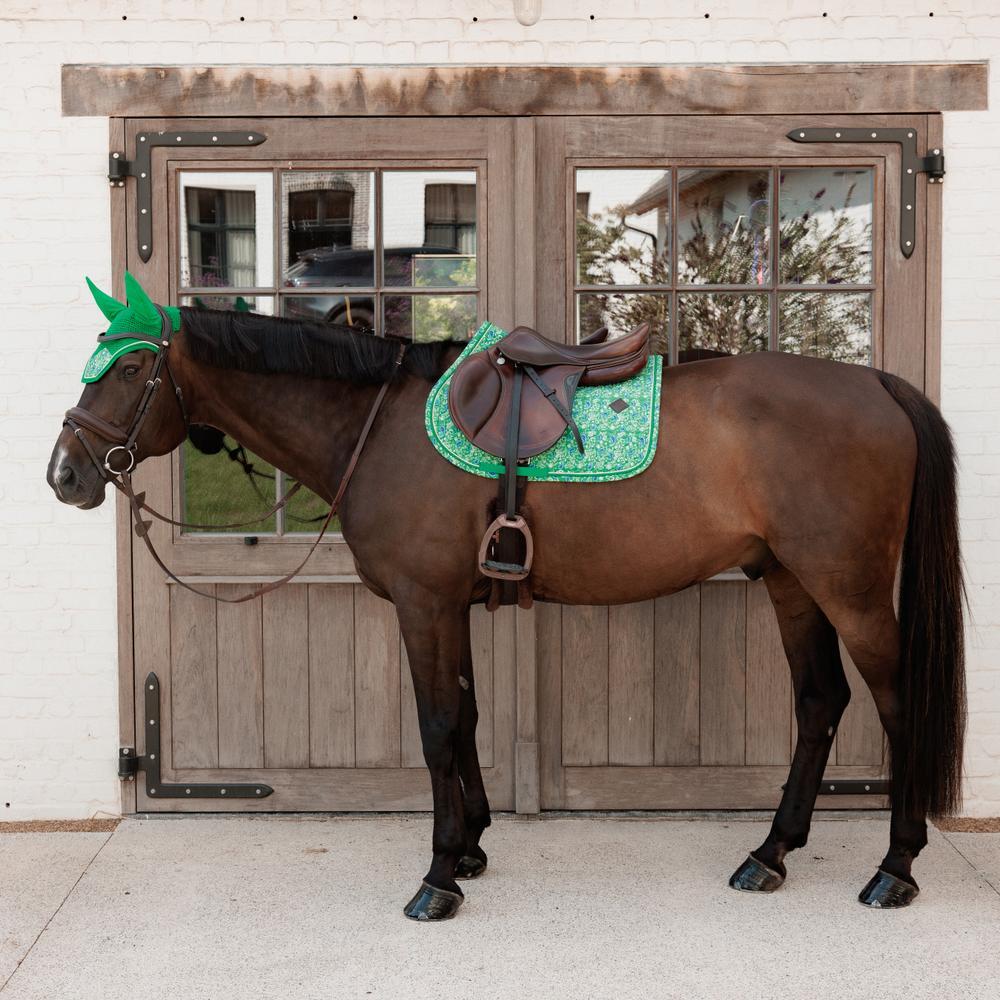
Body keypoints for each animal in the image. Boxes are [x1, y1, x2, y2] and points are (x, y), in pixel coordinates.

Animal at [48, 274, 965, 919]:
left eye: (130, 366)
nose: (66, 475)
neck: (377, 426)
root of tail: (878, 385)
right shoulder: (448, 605)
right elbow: (466, 716)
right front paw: (473, 848)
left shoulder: (421, 603)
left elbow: (435, 727)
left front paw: (438, 876)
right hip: (790, 581)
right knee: (819, 702)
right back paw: (770, 854)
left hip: (847, 589)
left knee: (894, 704)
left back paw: (895, 869)